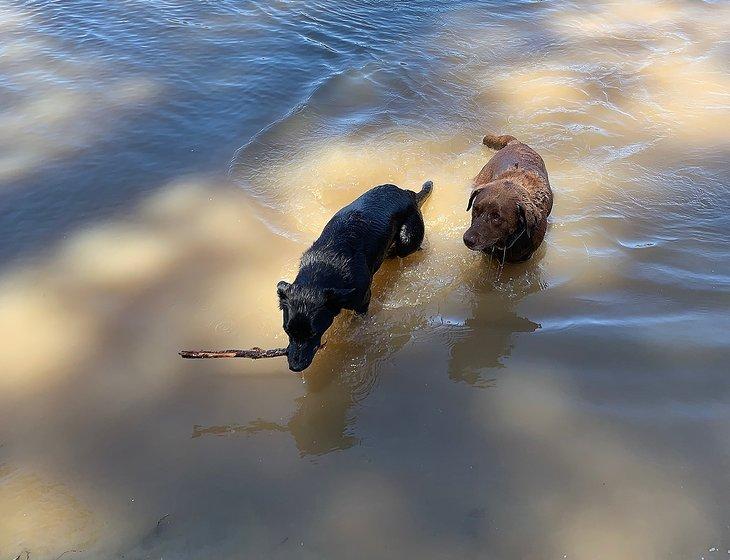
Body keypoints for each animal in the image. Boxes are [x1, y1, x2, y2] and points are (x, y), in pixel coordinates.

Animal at [276, 180, 430, 372]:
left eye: (313, 333)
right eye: (287, 330)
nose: (295, 367)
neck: (325, 264)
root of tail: (408, 194)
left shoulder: (363, 300)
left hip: (407, 241)